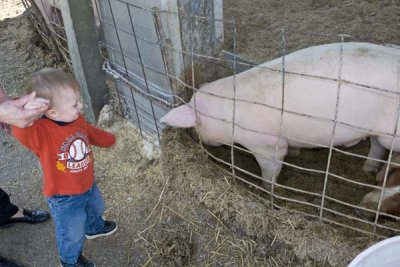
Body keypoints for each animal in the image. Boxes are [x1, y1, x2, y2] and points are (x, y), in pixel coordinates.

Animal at [160, 42, 400, 186]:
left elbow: (270, 169)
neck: (229, 114)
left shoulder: (265, 143)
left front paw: (268, 189)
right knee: (377, 145)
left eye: (196, 124)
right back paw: (368, 171)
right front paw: (296, 153)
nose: (198, 138)